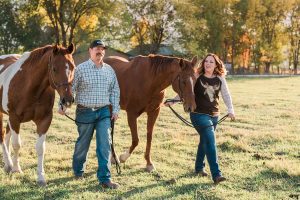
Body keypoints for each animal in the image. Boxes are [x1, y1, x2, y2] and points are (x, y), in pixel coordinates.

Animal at [0, 44, 75, 186]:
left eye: (73, 66)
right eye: (54, 69)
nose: (67, 100)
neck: (29, 87)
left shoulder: (44, 120)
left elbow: (40, 148)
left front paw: (40, 177)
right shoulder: (14, 118)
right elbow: (17, 144)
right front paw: (17, 169)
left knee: (6, 136)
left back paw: (8, 165)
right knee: (2, 137)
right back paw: (10, 164)